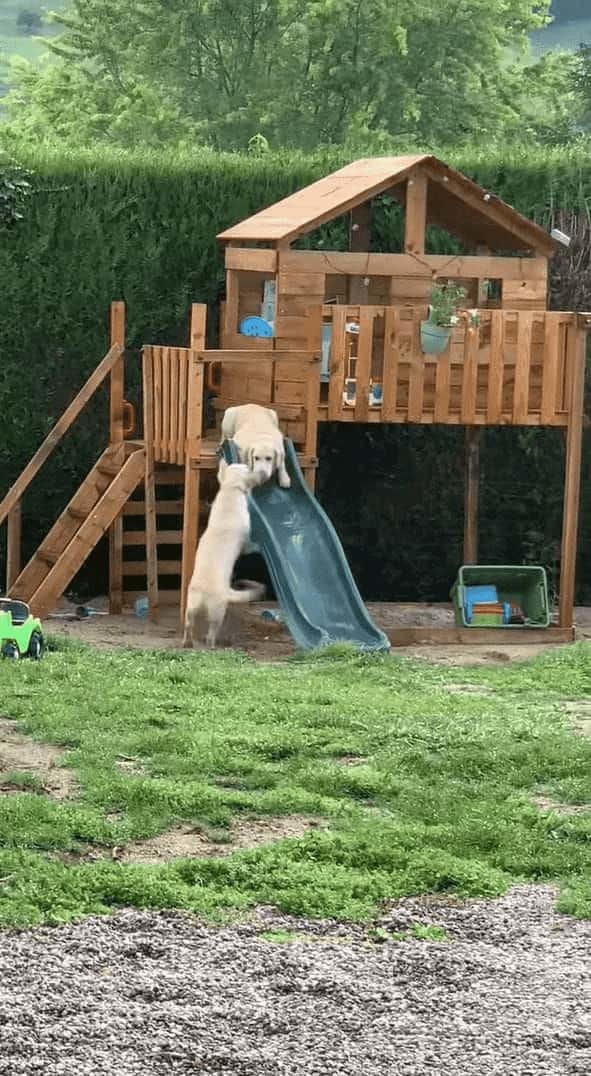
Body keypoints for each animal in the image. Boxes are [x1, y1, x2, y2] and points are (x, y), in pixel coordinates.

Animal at [179, 460, 262, 649]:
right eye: (248, 468)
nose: (253, 466)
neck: (230, 489)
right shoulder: (245, 537)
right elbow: (249, 545)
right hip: (218, 611)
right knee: (211, 632)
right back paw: (212, 646)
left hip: (191, 605)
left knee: (188, 624)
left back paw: (187, 643)